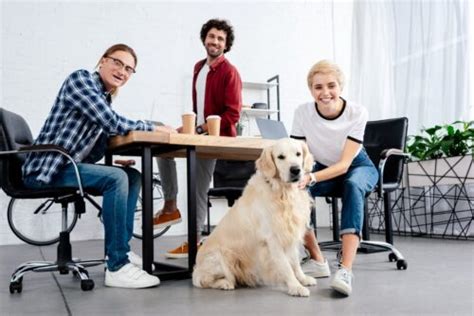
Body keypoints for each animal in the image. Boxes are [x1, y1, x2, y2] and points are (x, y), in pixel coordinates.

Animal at [191, 138, 316, 296]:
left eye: (298, 154)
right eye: (281, 157)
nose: (295, 170)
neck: (282, 192)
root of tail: (196, 267)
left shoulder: (290, 234)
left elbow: (295, 262)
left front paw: (303, 279)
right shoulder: (272, 239)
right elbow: (286, 266)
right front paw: (296, 287)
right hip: (221, 256)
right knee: (203, 280)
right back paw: (224, 283)